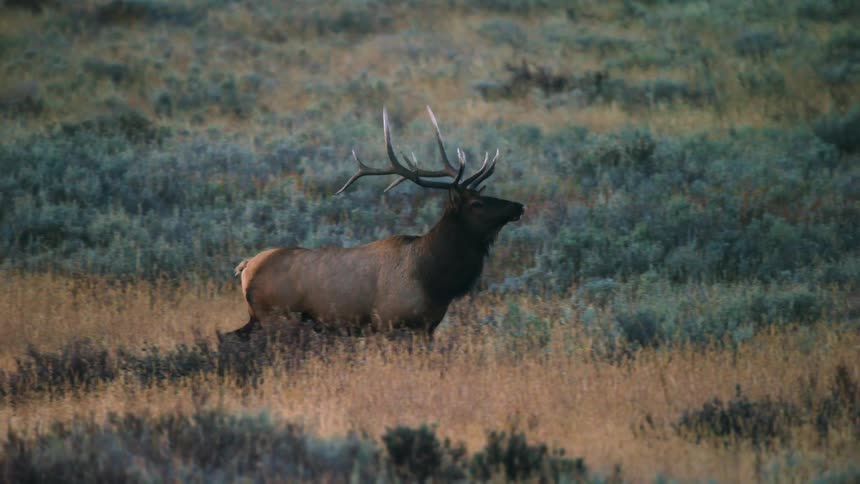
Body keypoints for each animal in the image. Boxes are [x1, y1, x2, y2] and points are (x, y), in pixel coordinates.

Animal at [225, 106, 524, 341]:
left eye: (482, 196)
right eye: (477, 203)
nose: (518, 206)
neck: (434, 280)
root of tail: (246, 266)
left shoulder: (427, 327)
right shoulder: (387, 322)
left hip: (257, 318)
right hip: (276, 316)